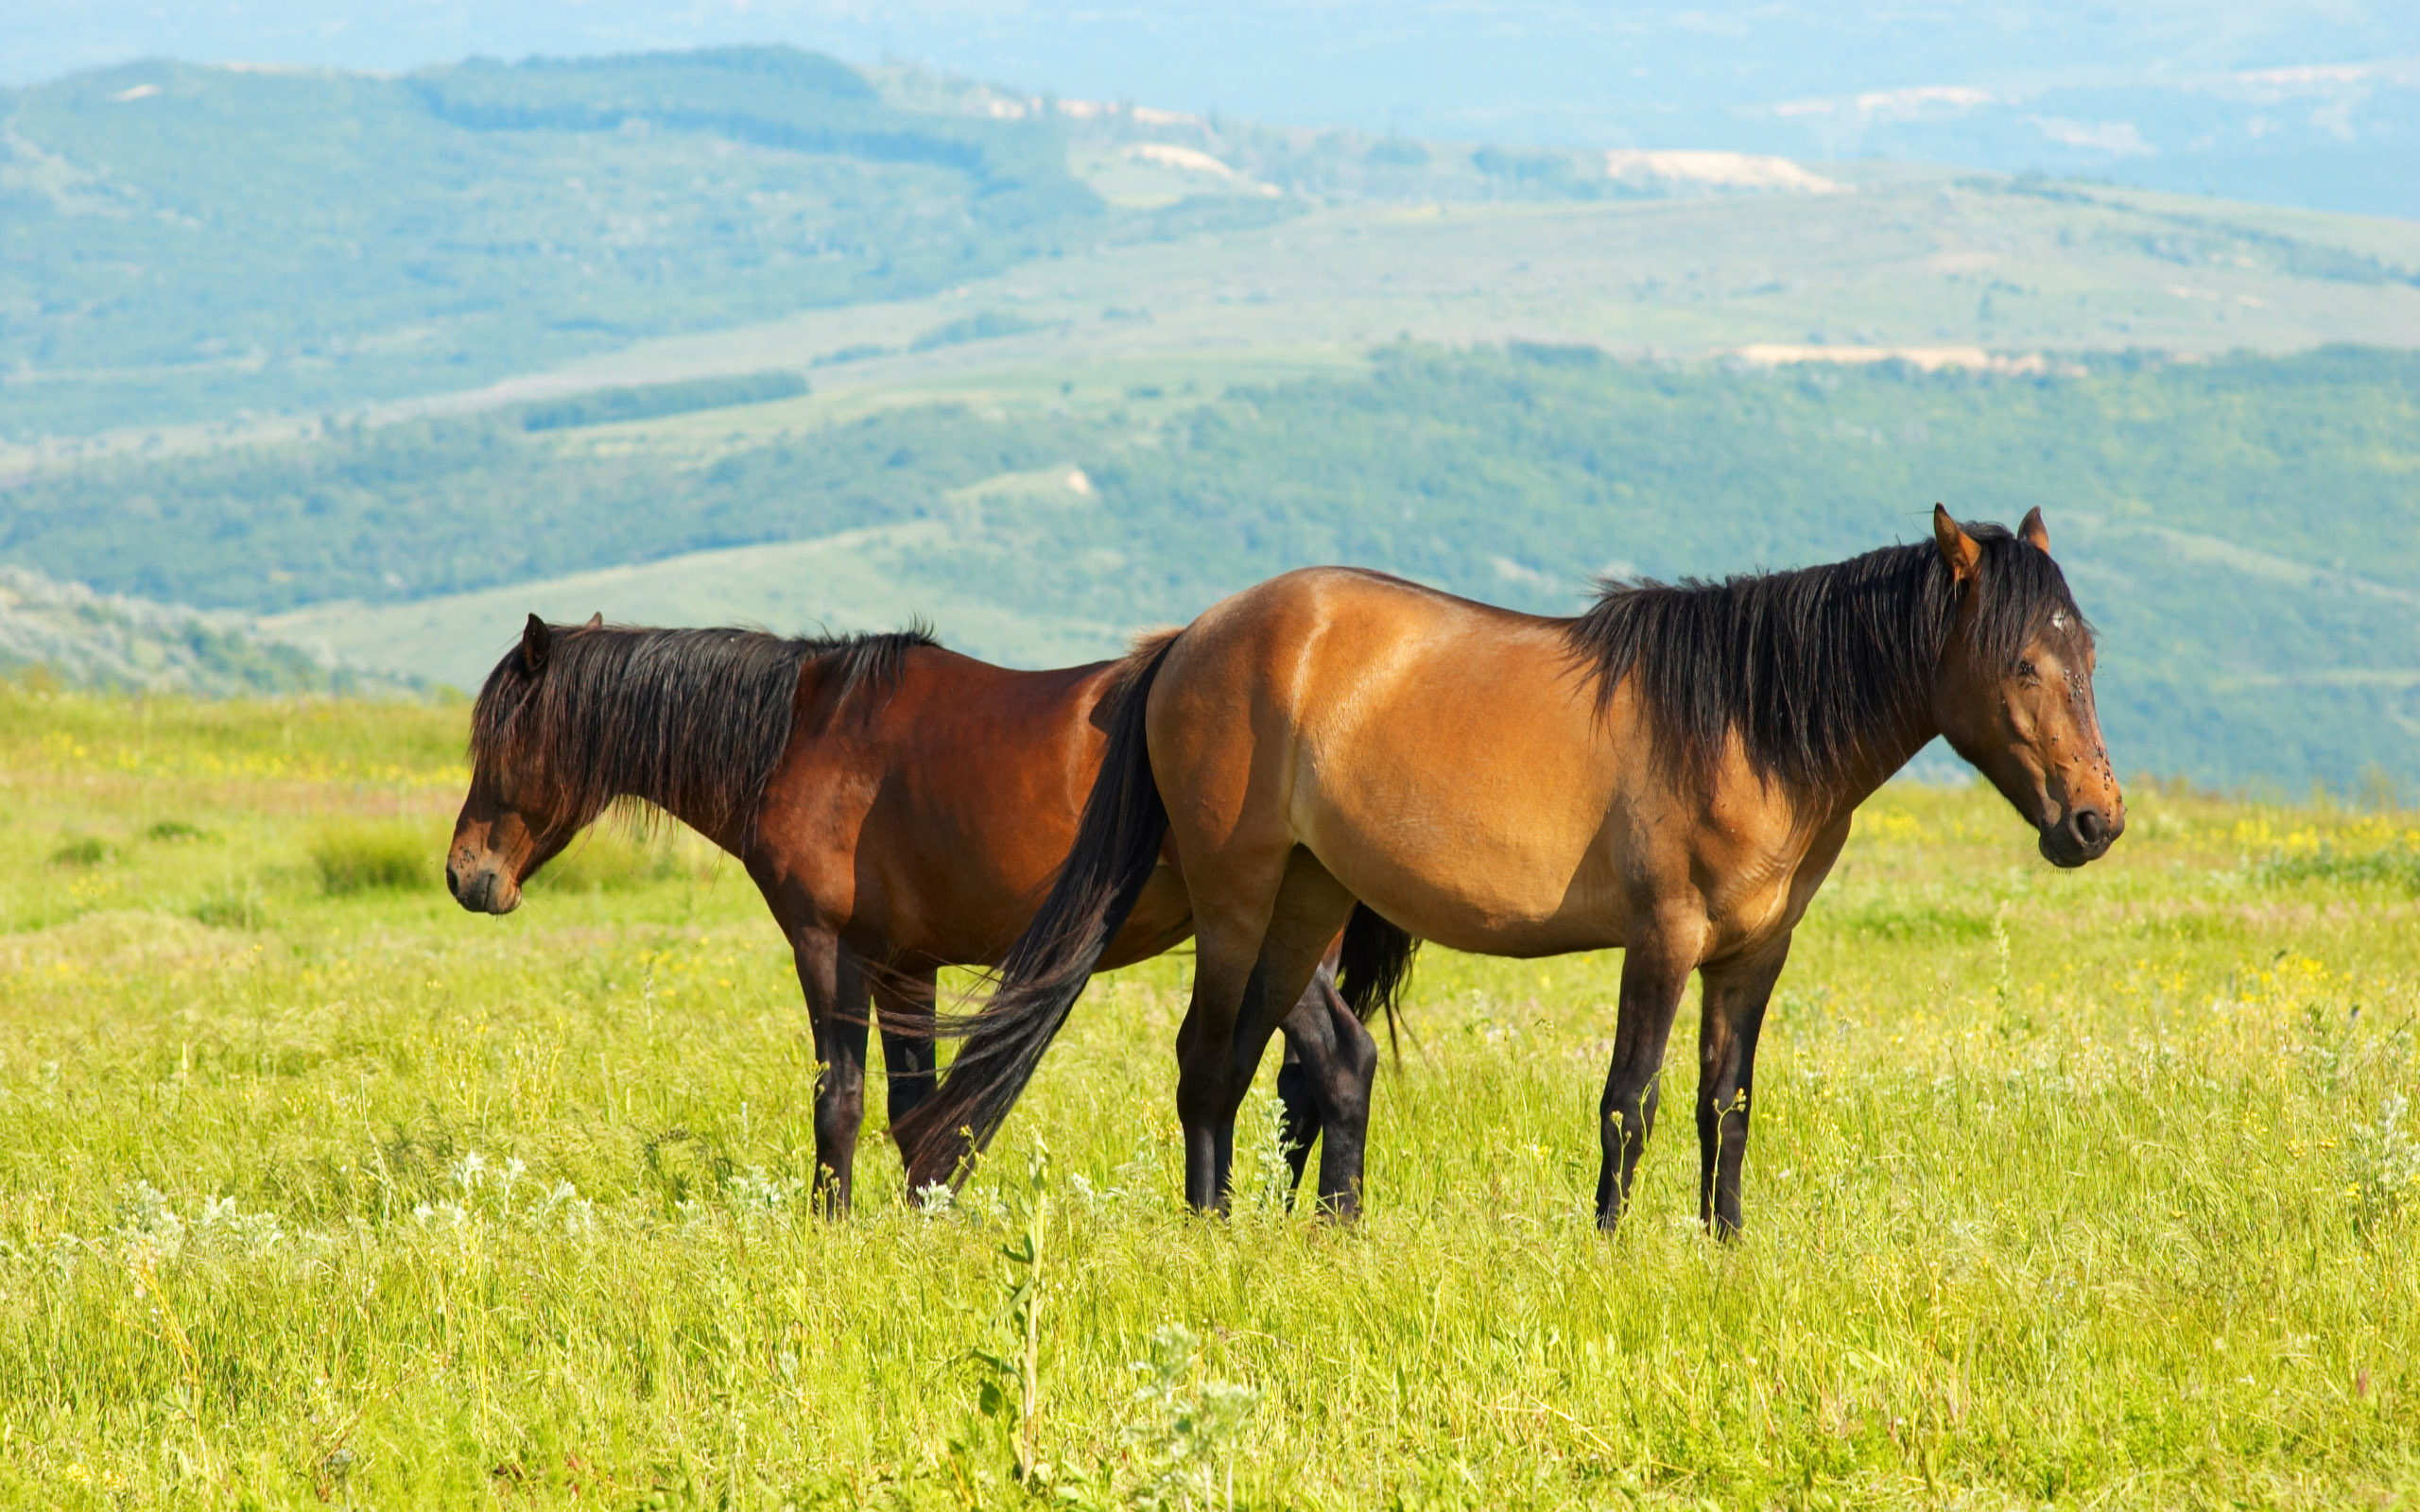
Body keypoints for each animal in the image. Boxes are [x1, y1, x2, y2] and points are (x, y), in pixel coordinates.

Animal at [445, 614, 1413, 1214]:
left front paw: (828, 1226)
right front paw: (924, 1221)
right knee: (1299, 1085)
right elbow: (915, 1111)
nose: (466, 876)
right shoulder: (906, 964)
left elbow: (839, 1099)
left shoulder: (828, 950)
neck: (799, 737)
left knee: (1338, 1062)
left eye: (502, 737)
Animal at [905, 512, 2119, 1233]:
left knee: (1269, 1063)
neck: (1743, 726)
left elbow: (1723, 1105)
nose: (2093, 820)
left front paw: (1722, 1243)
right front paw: (1611, 1246)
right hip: (1236, 898)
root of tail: (1187, 641)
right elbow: (1629, 1102)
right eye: (2021, 661)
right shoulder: (1662, 940)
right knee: (1206, 1066)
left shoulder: (1751, 957)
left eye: (2089, 653)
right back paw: (1210, 1235)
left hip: (1306, 901)